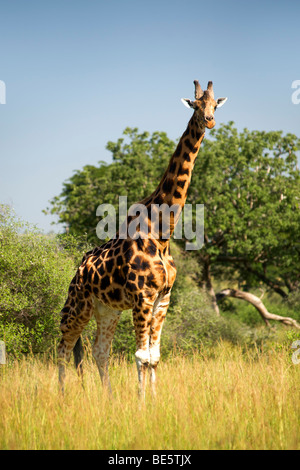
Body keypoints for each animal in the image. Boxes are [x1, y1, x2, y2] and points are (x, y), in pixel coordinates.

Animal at [58, 80, 227, 396]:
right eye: (195, 105)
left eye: (214, 105)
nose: (209, 121)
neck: (162, 233)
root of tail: (79, 269)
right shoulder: (142, 297)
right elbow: (141, 356)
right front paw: (141, 402)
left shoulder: (163, 299)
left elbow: (154, 356)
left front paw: (154, 400)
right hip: (77, 305)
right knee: (63, 346)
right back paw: (61, 397)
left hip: (106, 310)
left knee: (100, 350)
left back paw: (108, 397)